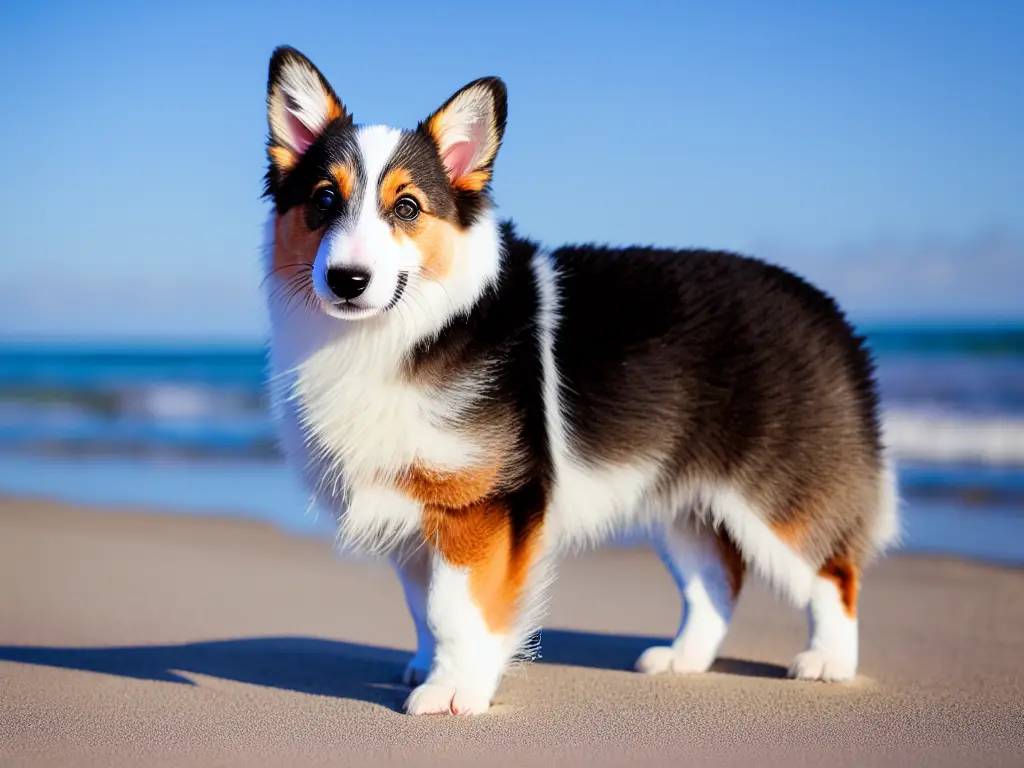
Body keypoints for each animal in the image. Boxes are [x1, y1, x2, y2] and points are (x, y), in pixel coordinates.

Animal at [262, 45, 897, 720]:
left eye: (406, 207)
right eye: (324, 199)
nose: (347, 279)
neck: (406, 330)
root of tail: (827, 311)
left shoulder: (482, 505)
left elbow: (455, 609)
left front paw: (456, 689)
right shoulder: (414, 509)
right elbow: (422, 608)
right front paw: (432, 668)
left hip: (776, 497)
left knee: (833, 573)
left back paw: (829, 661)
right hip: (685, 503)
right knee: (718, 582)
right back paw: (683, 659)